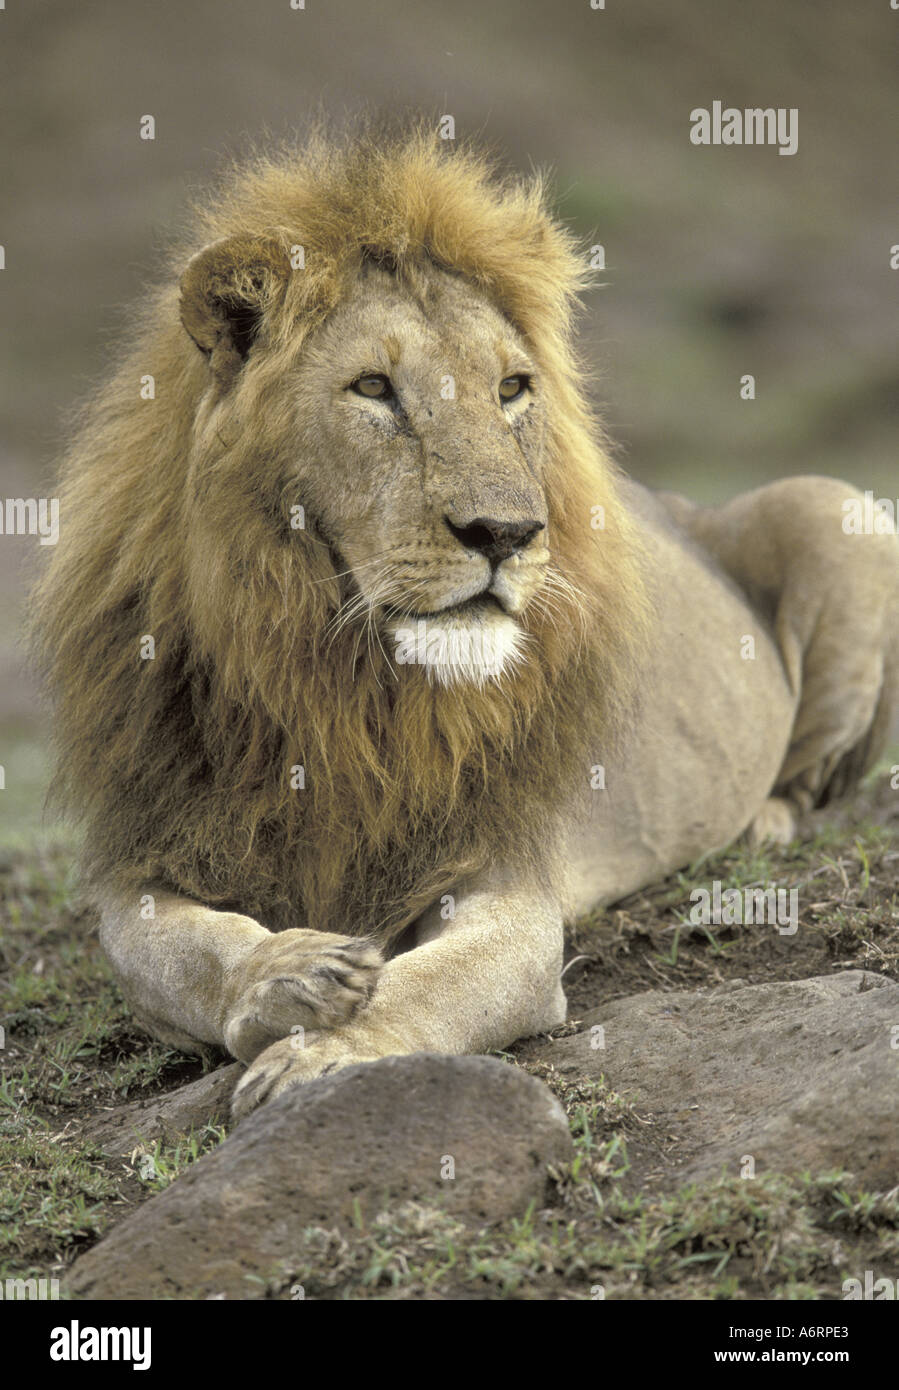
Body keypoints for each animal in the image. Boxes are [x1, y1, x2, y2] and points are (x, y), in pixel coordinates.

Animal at [30, 125, 898, 1122]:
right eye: (374, 388)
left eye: (512, 388)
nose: (507, 533)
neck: (329, 672)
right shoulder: (145, 859)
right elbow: (180, 952)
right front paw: (290, 974)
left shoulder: (511, 887)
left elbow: (429, 985)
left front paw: (325, 1055)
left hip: (840, 506)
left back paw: (759, 826)